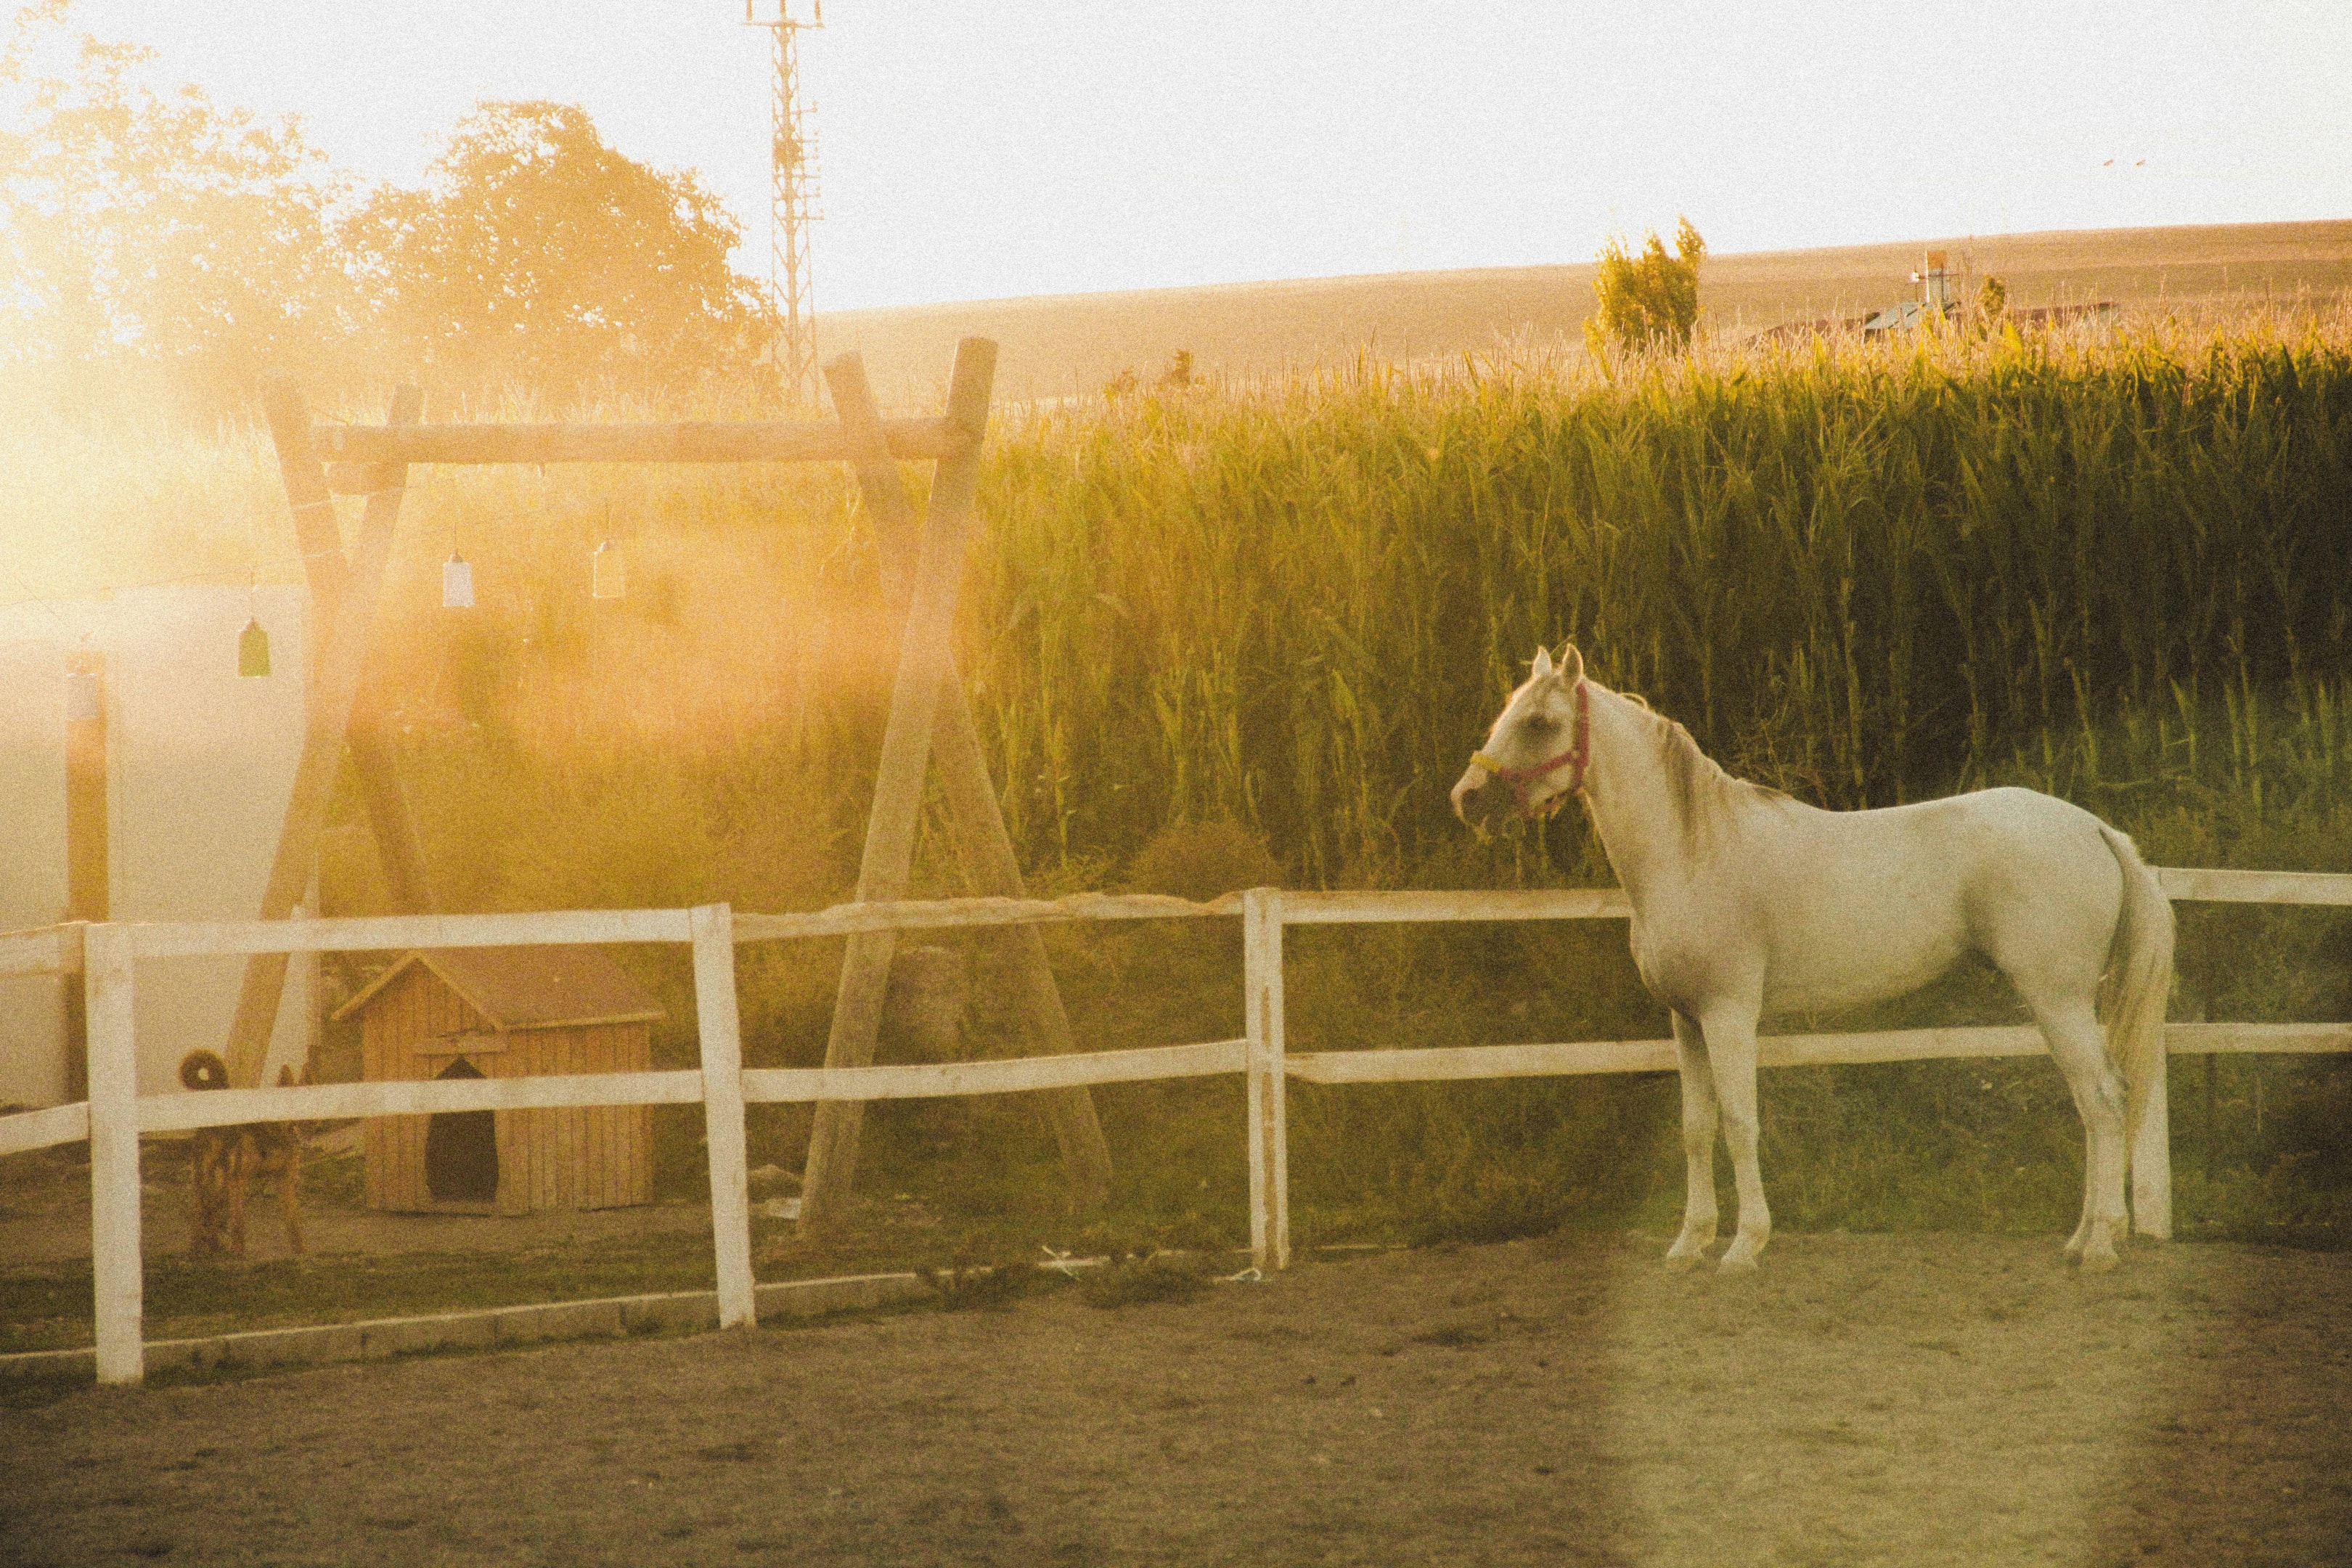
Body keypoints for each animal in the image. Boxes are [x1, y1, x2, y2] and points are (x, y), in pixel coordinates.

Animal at [1450, 644, 2174, 1273]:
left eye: (1540, 722)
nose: (1467, 799)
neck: (1691, 851)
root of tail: (2094, 828)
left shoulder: (1729, 1015)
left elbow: (1740, 1123)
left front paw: (1745, 1248)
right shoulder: (1686, 1021)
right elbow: (1695, 1129)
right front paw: (1689, 1245)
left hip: (2059, 1000)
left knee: (2104, 1101)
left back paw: (2101, 1246)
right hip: (2056, 1005)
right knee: (2090, 1106)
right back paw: (2081, 1239)